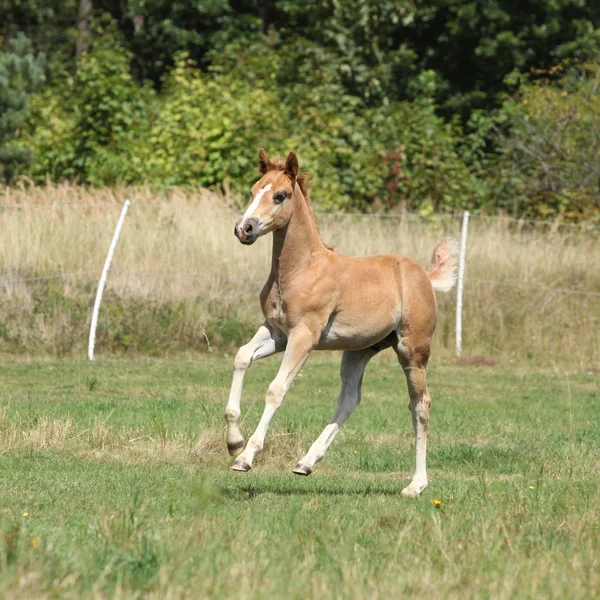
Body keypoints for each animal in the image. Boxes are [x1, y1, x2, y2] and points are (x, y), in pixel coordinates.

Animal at [226, 150, 460, 496]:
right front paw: (233, 442)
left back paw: (416, 485)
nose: (245, 228)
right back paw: (305, 462)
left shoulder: (304, 336)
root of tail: (425, 277)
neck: (299, 269)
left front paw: (246, 456)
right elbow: (242, 357)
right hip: (359, 350)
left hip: (412, 350)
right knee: (350, 398)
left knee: (420, 405)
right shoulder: (276, 332)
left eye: (280, 195)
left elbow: (276, 390)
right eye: (254, 190)